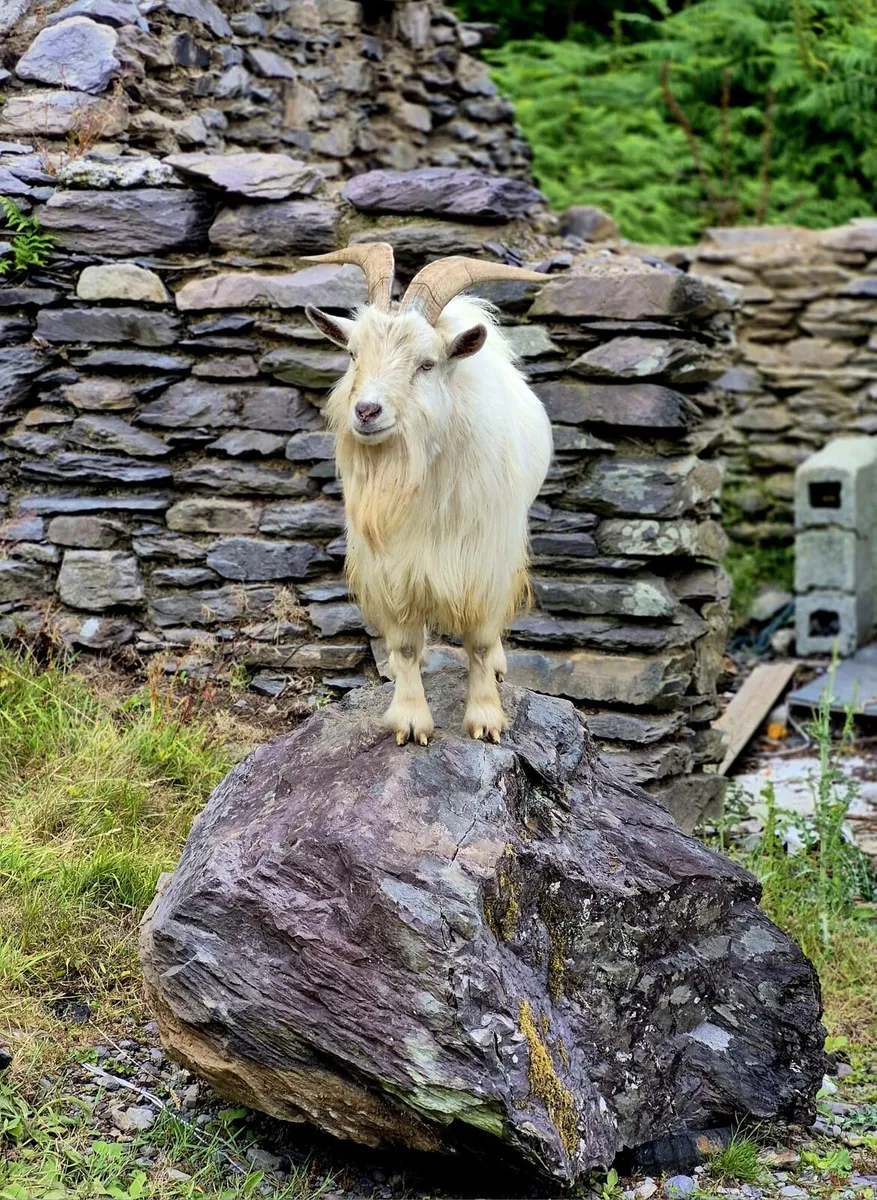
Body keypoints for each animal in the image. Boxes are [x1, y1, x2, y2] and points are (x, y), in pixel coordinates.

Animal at [304, 243, 552, 745]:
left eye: (426, 363)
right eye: (353, 354)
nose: (367, 410)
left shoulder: (485, 559)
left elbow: (480, 640)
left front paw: (486, 719)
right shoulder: (392, 567)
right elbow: (403, 646)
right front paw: (410, 720)